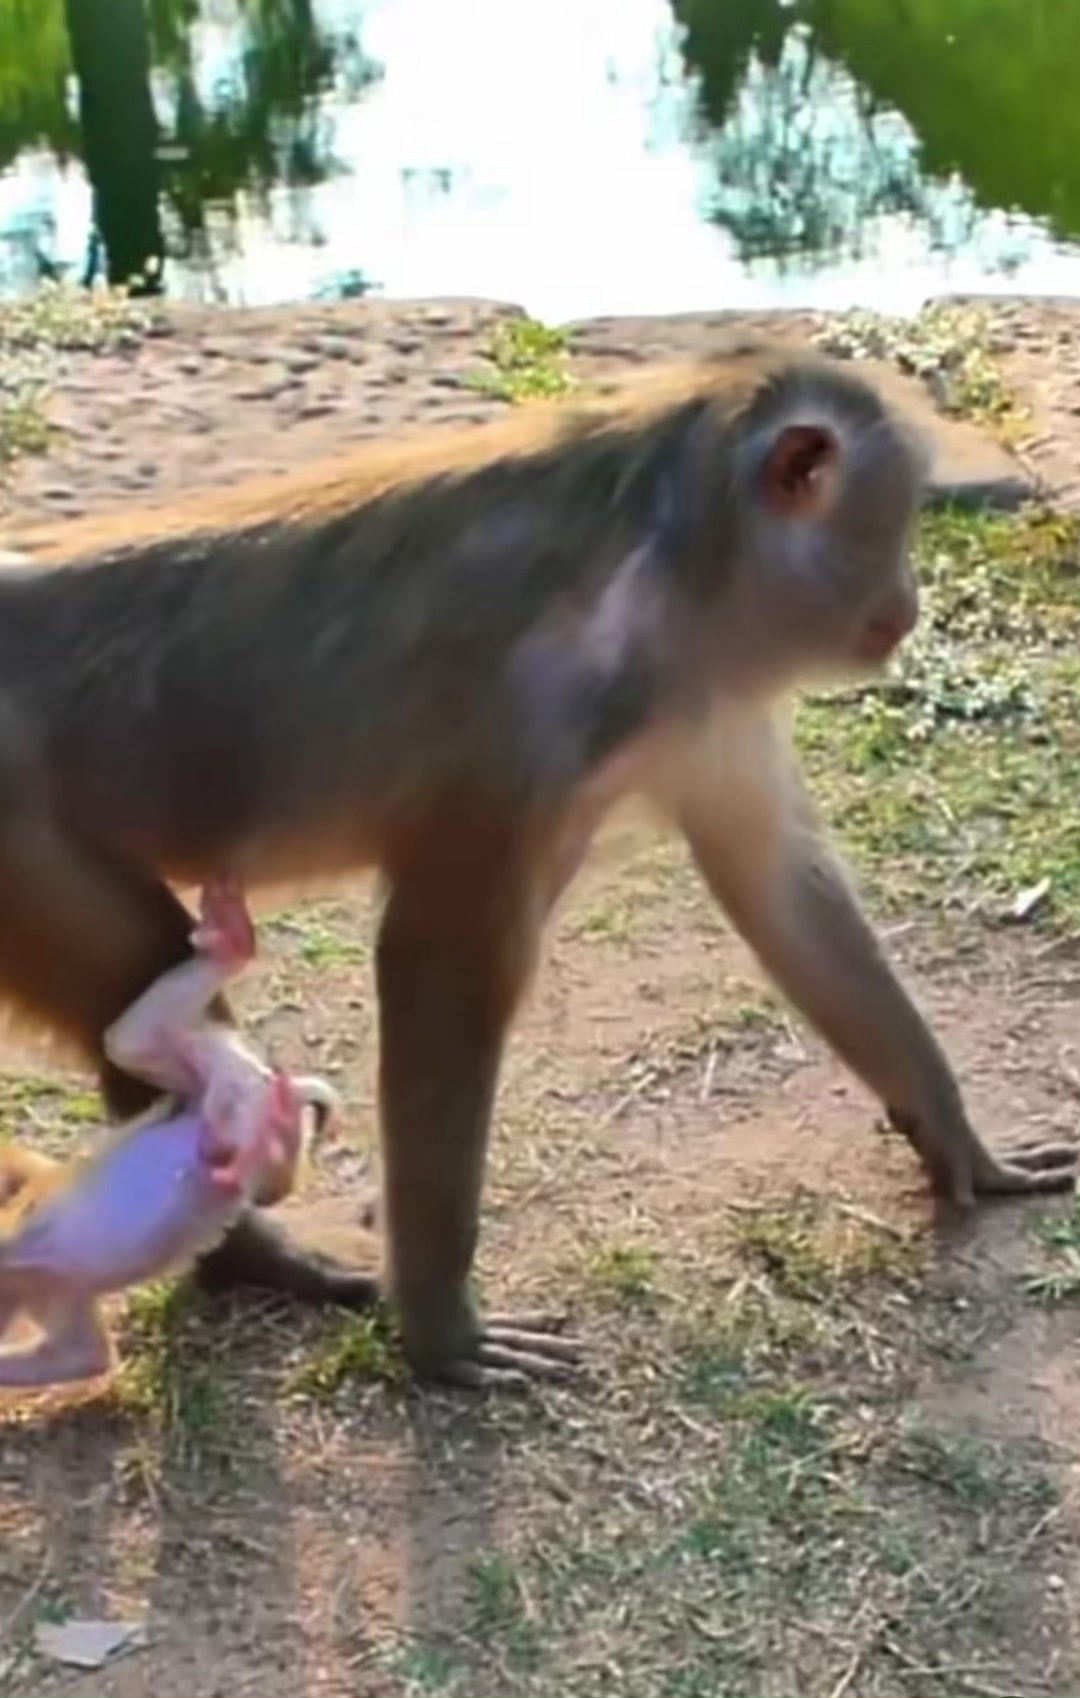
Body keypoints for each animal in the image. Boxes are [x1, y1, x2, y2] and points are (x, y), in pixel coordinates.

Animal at [0, 876, 337, 1389]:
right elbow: (85, 1357)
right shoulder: (51, 1294)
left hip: (192, 1064)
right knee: (267, 1184)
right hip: (222, 1106)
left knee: (129, 1042)